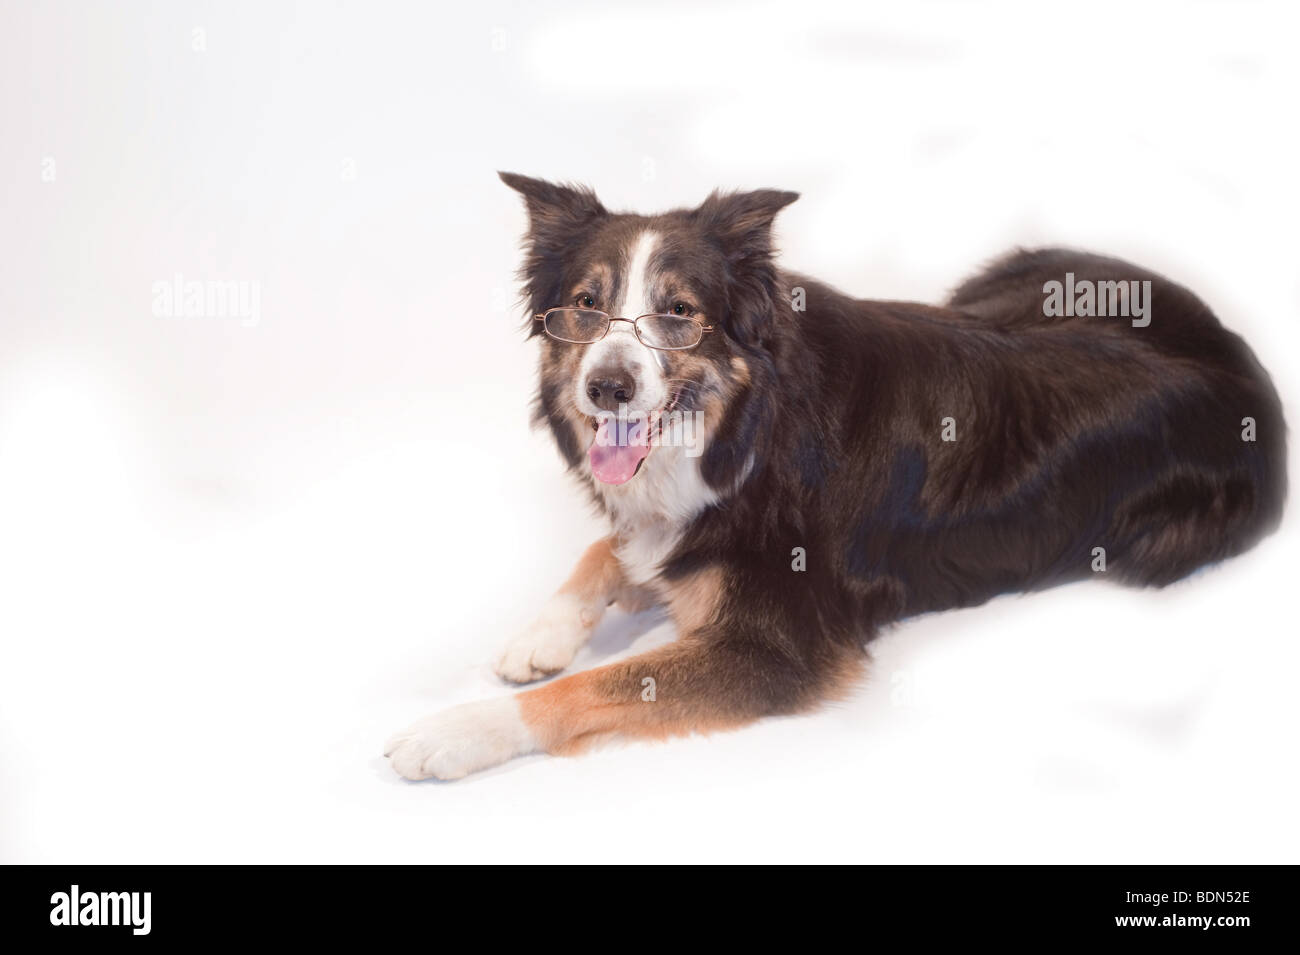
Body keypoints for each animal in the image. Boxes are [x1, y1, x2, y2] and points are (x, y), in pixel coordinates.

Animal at [379, 175, 1284, 779]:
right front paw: (540, 635)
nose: (606, 387)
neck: (751, 425)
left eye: (678, 312)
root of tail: (1242, 352)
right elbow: (610, 550)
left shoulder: (782, 645)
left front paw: (454, 729)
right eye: (587, 304)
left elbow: (600, 680)